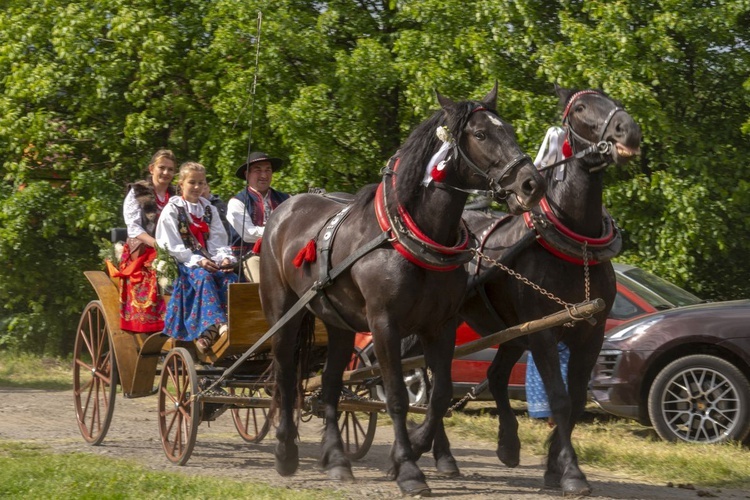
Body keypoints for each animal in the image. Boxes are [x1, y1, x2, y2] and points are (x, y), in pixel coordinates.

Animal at [258, 84, 548, 494]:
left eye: (506, 128)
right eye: (480, 134)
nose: (532, 184)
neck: (411, 236)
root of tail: (284, 209)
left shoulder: (440, 326)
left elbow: (439, 395)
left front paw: (410, 452)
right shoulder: (384, 326)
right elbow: (396, 396)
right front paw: (410, 470)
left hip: (339, 325)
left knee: (329, 383)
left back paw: (336, 459)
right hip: (283, 313)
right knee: (284, 375)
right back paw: (285, 452)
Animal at [432, 87, 644, 496]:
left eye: (612, 99)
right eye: (581, 108)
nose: (629, 130)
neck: (575, 243)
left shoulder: (590, 334)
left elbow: (575, 401)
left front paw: (553, 468)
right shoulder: (544, 333)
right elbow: (559, 400)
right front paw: (573, 473)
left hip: (513, 333)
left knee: (495, 375)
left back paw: (507, 445)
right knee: (434, 379)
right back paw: (442, 454)